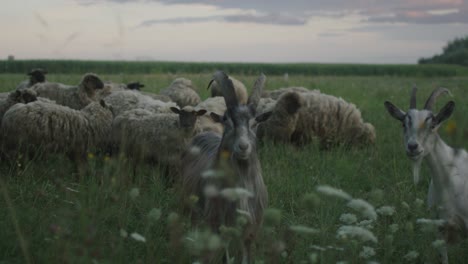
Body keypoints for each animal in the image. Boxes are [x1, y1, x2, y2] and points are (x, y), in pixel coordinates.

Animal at [180, 71, 274, 262]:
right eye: (226, 121)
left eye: (255, 123)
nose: (243, 146)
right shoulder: (217, 221)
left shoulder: (252, 227)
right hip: (190, 205)